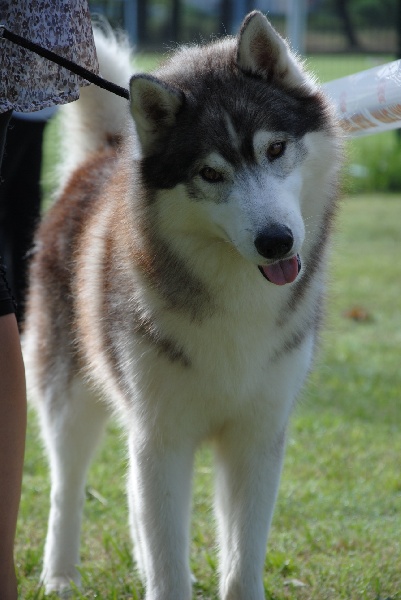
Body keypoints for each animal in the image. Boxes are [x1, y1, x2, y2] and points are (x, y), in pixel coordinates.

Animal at [24, 10, 340, 600]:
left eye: (276, 149)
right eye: (210, 173)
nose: (276, 241)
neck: (237, 298)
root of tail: (106, 151)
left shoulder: (257, 437)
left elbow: (241, 559)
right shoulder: (162, 437)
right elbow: (169, 561)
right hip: (70, 398)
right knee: (67, 486)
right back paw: (59, 575)